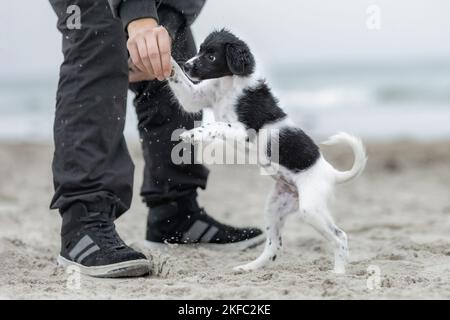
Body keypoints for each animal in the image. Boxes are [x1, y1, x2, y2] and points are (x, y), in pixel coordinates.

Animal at [167, 29, 368, 272]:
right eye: (200, 50)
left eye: (212, 56)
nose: (187, 65)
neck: (228, 86)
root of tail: (331, 172)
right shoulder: (195, 98)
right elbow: (180, 82)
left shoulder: (244, 132)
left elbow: (217, 125)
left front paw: (192, 134)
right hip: (275, 208)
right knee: (274, 245)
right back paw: (249, 268)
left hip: (311, 209)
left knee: (340, 237)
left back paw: (337, 273)